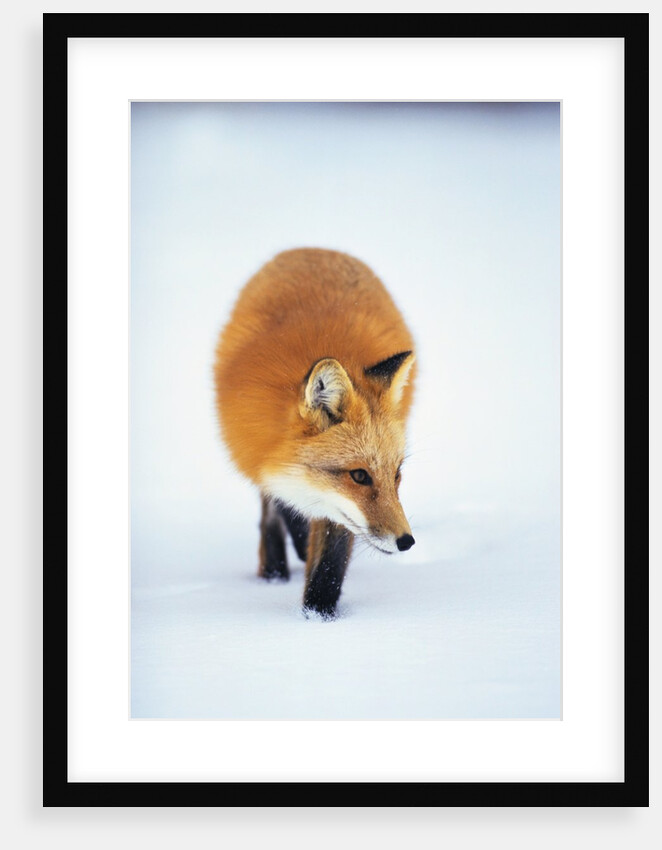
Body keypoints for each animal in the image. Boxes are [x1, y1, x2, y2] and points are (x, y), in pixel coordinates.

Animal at [214, 248, 416, 618]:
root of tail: (311, 249)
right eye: (359, 475)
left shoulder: (336, 509)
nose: (406, 541)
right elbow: (280, 505)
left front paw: (318, 619)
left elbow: (328, 567)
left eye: (397, 475)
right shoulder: (260, 454)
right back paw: (274, 571)